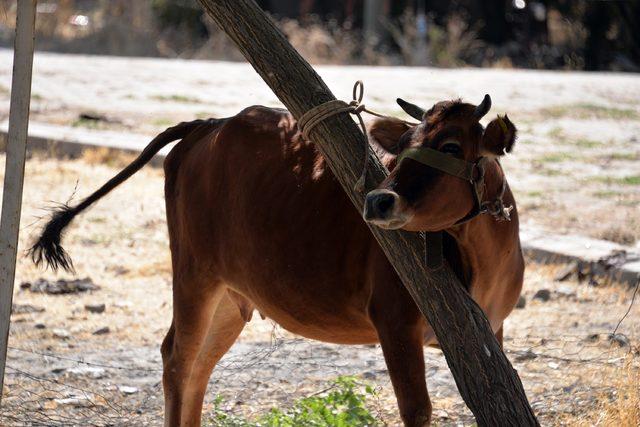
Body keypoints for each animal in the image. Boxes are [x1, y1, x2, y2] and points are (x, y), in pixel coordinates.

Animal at [30, 95, 524, 426]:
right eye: (403, 144)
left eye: (453, 146)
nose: (379, 199)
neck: (484, 254)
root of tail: (212, 123)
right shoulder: (395, 320)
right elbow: (418, 411)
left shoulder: (494, 326)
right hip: (194, 274)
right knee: (179, 359)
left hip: (232, 296)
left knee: (199, 365)